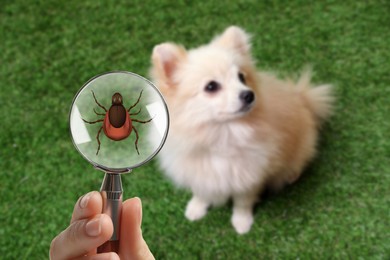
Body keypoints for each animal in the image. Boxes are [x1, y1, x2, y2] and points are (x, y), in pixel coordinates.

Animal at [149, 26, 332, 234]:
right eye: (211, 86)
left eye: (242, 77)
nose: (248, 94)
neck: (222, 135)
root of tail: (302, 98)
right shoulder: (198, 172)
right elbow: (201, 192)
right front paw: (196, 209)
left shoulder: (249, 176)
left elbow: (242, 203)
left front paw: (242, 223)